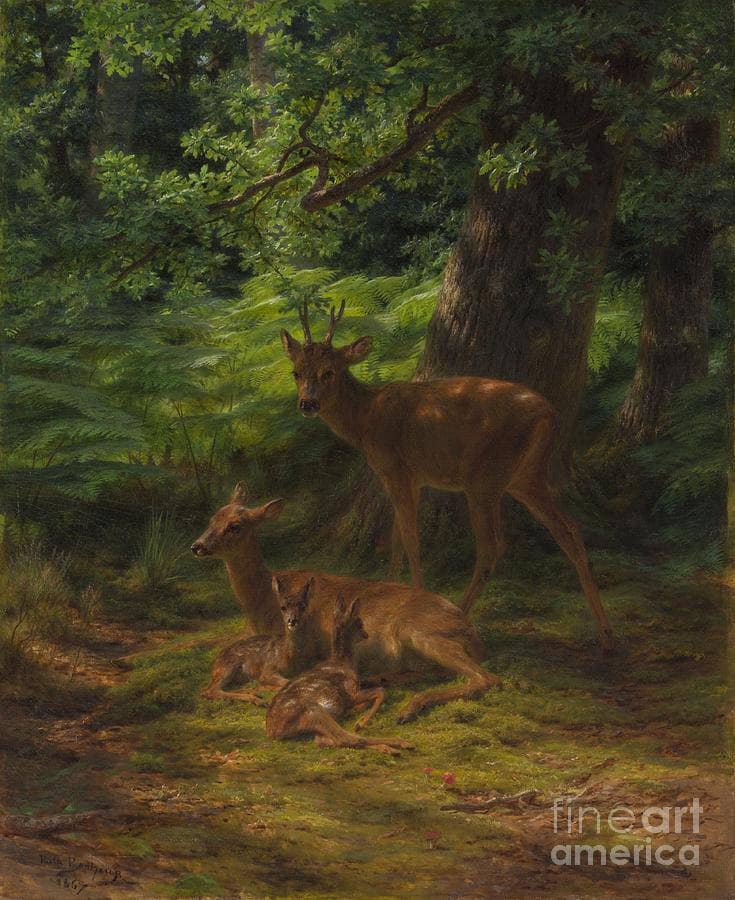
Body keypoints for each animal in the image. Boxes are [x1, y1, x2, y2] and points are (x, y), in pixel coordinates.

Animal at [200, 576, 315, 705]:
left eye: (303, 607)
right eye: (283, 607)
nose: (292, 620)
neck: (288, 658)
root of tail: (215, 663)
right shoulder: (268, 669)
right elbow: (286, 682)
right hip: (228, 666)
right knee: (209, 690)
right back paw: (258, 700)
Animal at [266, 593, 413, 755]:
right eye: (359, 623)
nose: (366, 634)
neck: (343, 663)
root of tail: (272, 731)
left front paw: (357, 715)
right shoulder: (351, 692)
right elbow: (381, 691)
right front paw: (362, 722)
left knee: (326, 741)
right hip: (314, 711)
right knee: (346, 738)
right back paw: (399, 744)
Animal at [280, 302, 614, 651]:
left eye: (328, 372)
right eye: (296, 372)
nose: (307, 403)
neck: (366, 418)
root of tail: (550, 414)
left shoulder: (395, 470)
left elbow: (410, 538)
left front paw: (410, 601)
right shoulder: (411, 479)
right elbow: (396, 537)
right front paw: (388, 592)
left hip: (485, 478)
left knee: (493, 546)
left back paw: (459, 617)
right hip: (526, 478)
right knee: (569, 529)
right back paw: (606, 635)